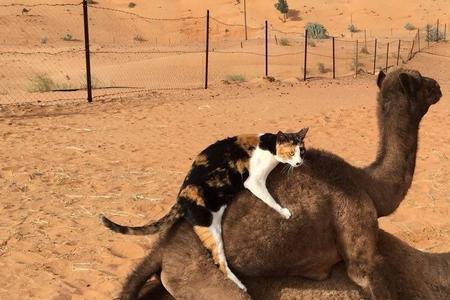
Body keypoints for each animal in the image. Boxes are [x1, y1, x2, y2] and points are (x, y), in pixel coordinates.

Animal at [100, 127, 308, 290]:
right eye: (292, 153)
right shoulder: (254, 182)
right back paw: (240, 285)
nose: (299, 163)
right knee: (220, 262)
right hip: (211, 231)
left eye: (302, 152)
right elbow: (270, 200)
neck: (269, 145)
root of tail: (181, 198)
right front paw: (285, 212)